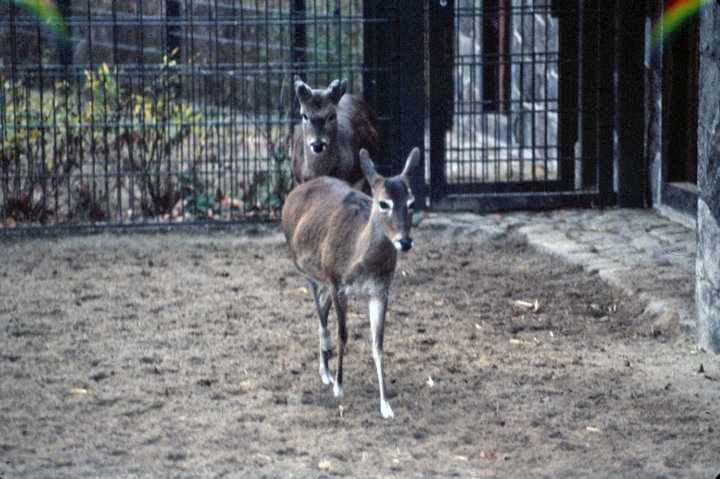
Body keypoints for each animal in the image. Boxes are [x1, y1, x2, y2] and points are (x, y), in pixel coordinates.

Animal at [281, 147, 420, 419]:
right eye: (383, 203)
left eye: (411, 203)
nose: (405, 241)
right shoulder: (337, 282)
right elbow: (343, 333)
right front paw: (339, 385)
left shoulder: (380, 290)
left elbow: (378, 343)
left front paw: (386, 405)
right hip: (307, 269)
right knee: (319, 311)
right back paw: (326, 365)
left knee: (322, 308)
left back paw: (324, 367)